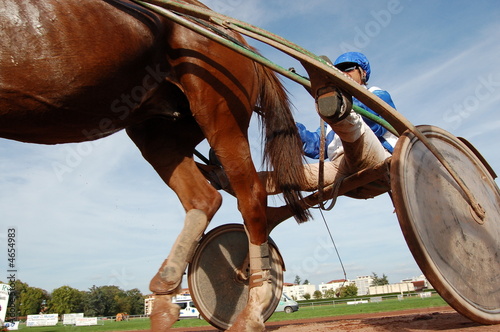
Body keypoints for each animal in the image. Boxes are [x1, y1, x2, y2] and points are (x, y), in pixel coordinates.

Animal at [0, 0, 306, 330]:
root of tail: (230, 32)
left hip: (219, 112)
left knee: (251, 197)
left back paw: (251, 309)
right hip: (157, 130)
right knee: (204, 198)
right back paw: (164, 296)